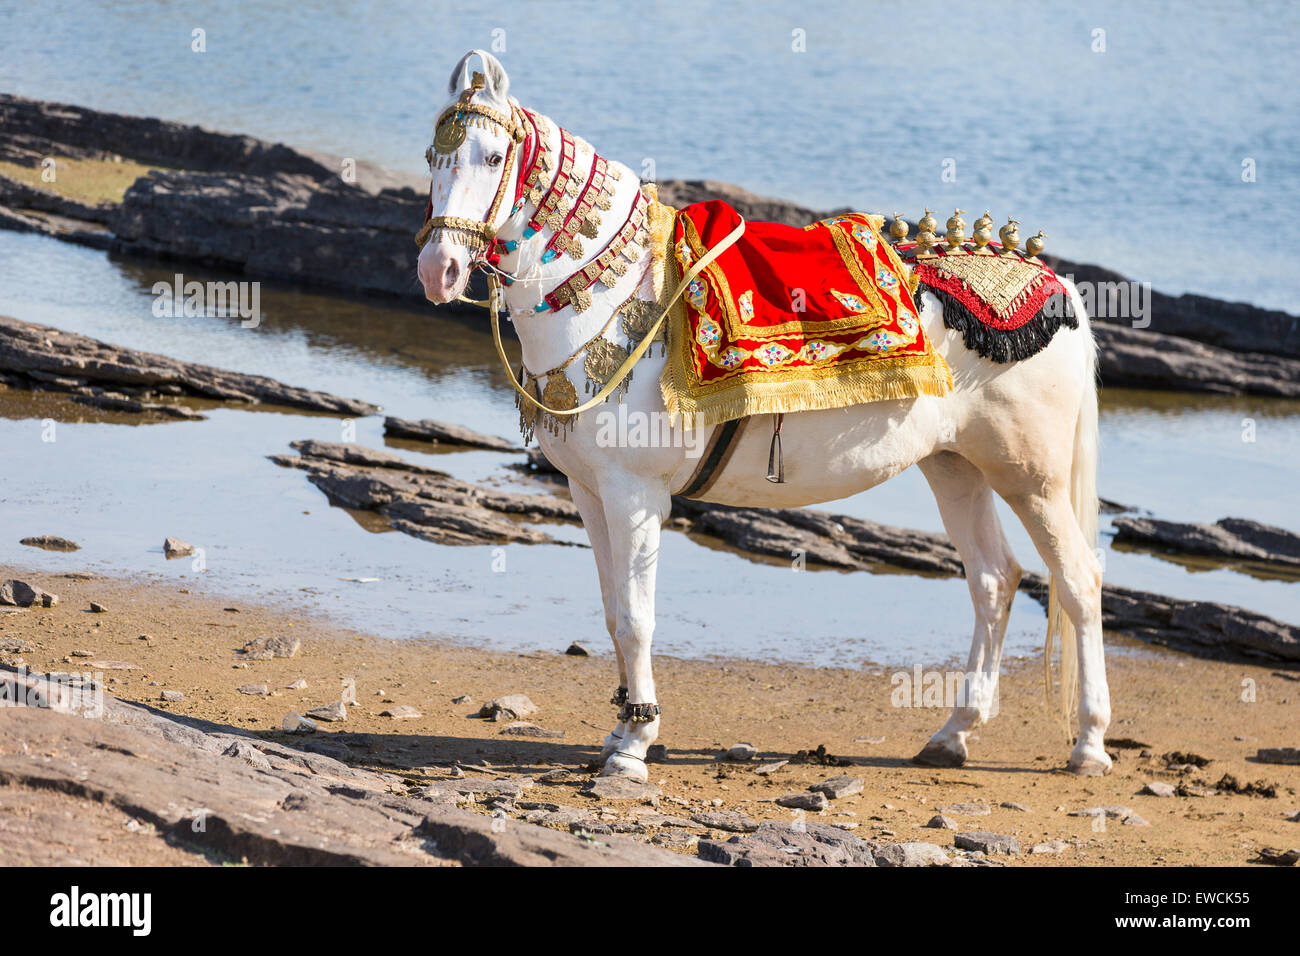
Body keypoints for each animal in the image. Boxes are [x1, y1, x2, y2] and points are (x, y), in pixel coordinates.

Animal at [416, 50, 1111, 782]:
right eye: (433, 155)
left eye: (495, 157)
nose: (440, 269)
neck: (617, 297)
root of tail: (1059, 288)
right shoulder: (588, 490)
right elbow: (611, 613)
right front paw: (619, 730)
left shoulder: (636, 496)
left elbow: (636, 618)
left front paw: (635, 744)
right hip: (955, 465)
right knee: (994, 580)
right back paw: (954, 733)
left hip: (1030, 476)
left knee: (1077, 581)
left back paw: (1089, 744)